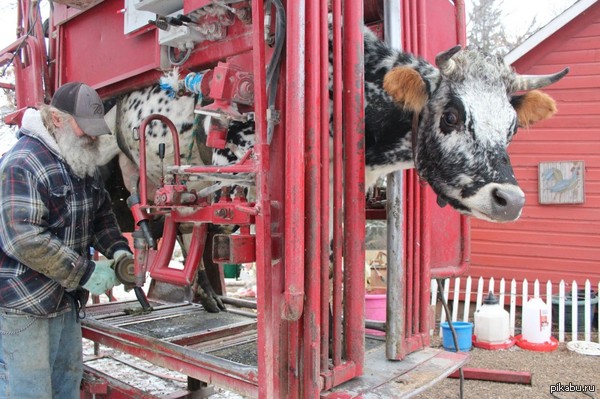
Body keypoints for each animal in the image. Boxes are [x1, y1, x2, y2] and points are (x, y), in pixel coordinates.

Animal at [98, 25, 568, 312]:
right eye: (451, 115)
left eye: (511, 127)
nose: (510, 199)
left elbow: (331, 260)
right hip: (143, 171)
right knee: (169, 224)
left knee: (187, 227)